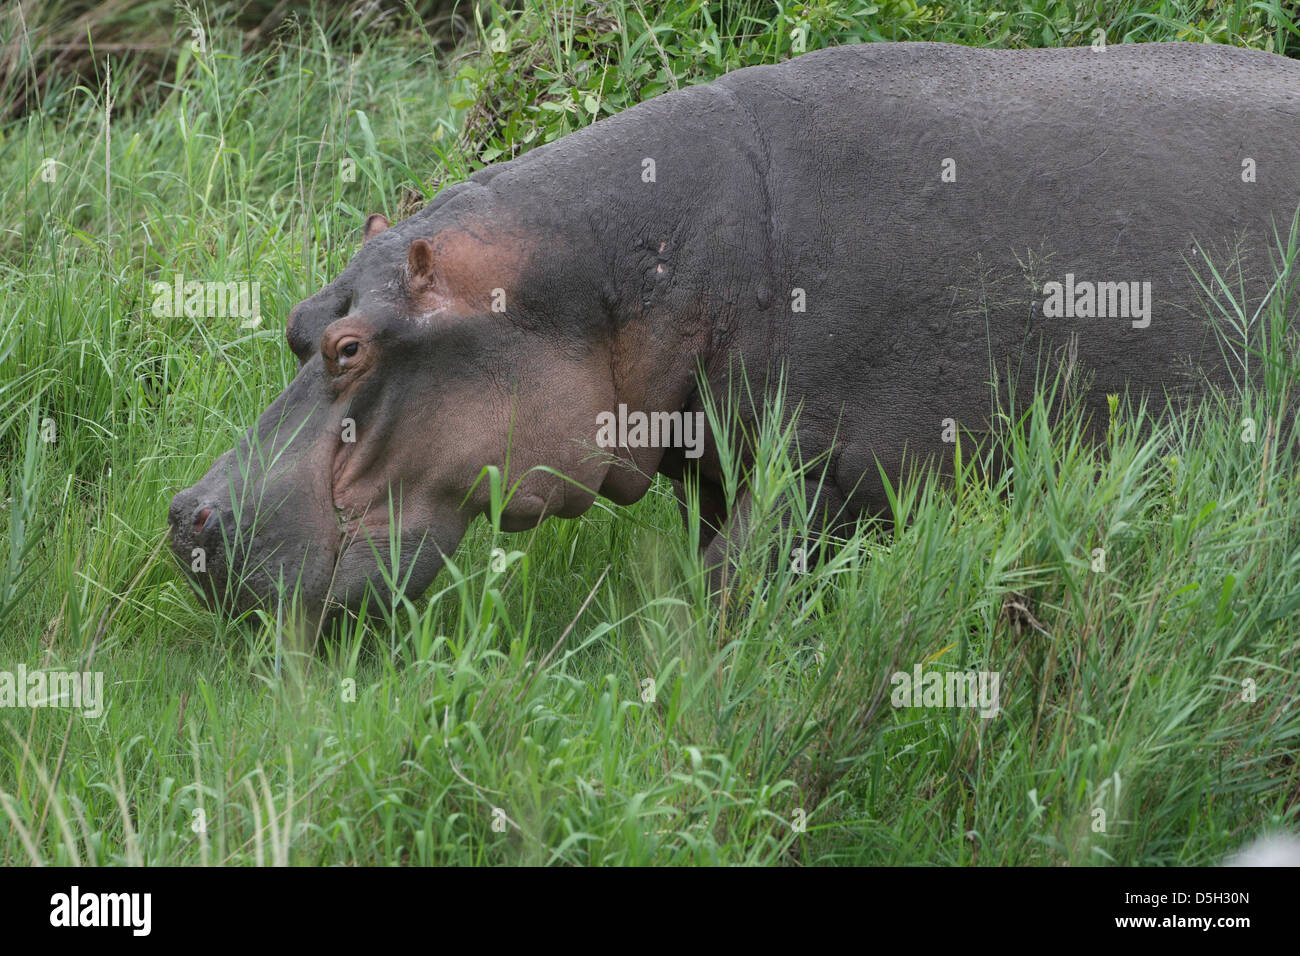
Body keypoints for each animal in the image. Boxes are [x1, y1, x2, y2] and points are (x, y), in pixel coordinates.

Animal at [168, 41, 1300, 622]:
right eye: (298, 324)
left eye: (351, 349)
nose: (185, 516)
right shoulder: (720, 464)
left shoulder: (817, 475)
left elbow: (725, 602)